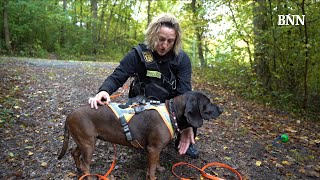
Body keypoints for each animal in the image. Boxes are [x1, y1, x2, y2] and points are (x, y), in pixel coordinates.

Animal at [57, 91, 222, 180]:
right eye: (208, 102)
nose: (221, 109)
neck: (171, 113)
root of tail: (70, 114)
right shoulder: (153, 149)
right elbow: (151, 169)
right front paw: (153, 177)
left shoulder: (155, 149)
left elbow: (154, 164)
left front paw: (159, 168)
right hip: (88, 144)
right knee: (86, 164)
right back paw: (88, 175)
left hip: (83, 142)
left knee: (74, 153)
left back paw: (79, 168)